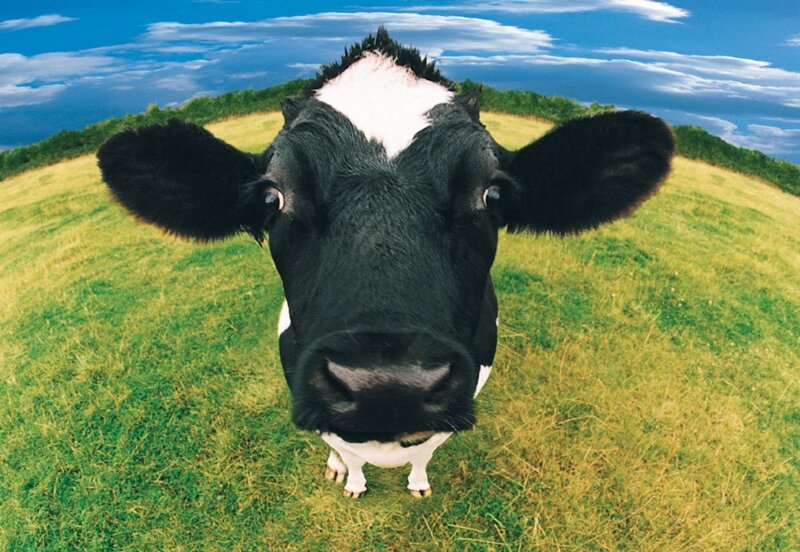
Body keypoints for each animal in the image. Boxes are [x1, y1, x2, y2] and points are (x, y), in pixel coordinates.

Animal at [97, 28, 674, 498]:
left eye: (491, 194)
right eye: (272, 197)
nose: (386, 385)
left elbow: (426, 449)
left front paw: (417, 482)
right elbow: (347, 450)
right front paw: (351, 479)